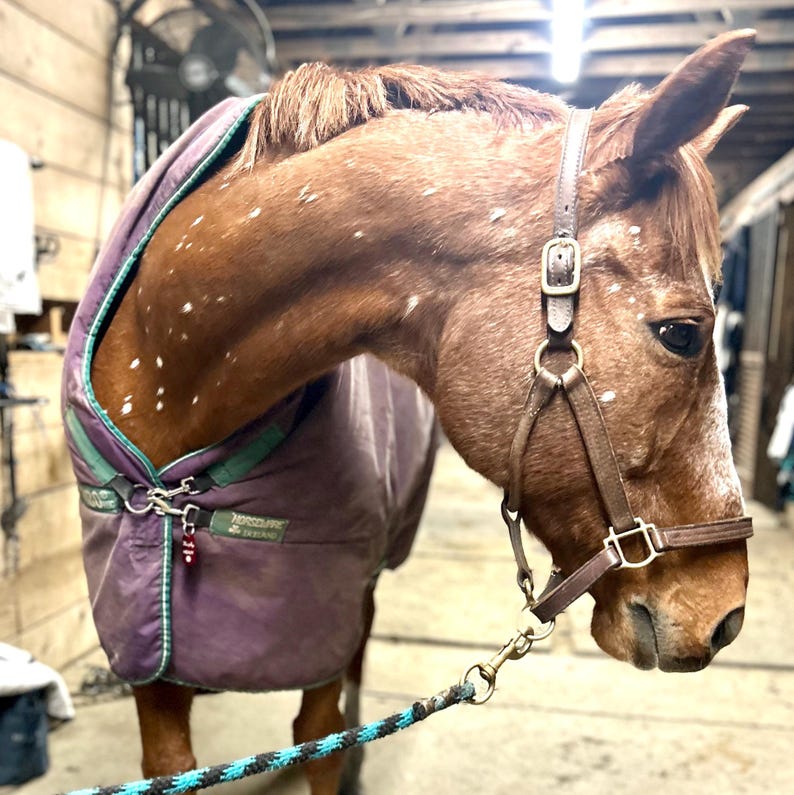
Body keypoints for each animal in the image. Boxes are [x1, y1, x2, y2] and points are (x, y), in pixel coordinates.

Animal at [62, 28, 755, 795]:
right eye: (682, 333)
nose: (725, 616)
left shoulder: (330, 613)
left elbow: (321, 737)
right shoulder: (147, 660)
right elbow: (174, 765)